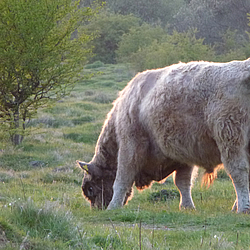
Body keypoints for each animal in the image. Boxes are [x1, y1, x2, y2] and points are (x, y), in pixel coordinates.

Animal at [76, 59, 250, 213]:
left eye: (89, 188)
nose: (98, 208)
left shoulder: (130, 145)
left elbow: (122, 179)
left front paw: (113, 206)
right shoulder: (184, 155)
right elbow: (183, 182)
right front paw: (187, 206)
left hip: (231, 142)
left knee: (239, 173)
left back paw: (242, 208)